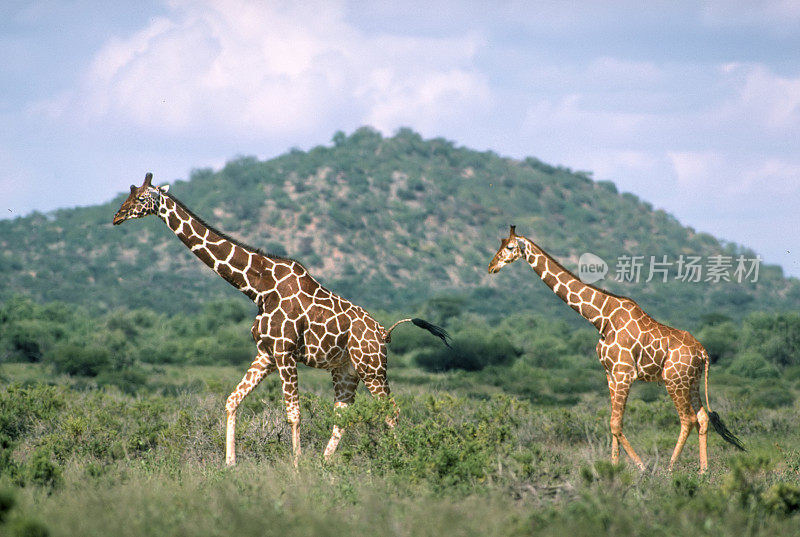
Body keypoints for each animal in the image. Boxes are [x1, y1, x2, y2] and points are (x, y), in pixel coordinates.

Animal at [112, 173, 450, 464]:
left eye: (141, 197)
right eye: (128, 193)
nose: (117, 216)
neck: (257, 288)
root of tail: (383, 332)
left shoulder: (285, 351)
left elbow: (293, 414)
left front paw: (296, 467)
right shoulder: (266, 352)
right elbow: (232, 400)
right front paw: (229, 465)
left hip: (373, 367)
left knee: (391, 412)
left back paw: (400, 459)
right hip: (346, 370)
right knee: (344, 416)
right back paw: (325, 464)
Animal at [488, 224, 744, 472]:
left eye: (510, 247)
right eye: (500, 243)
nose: (491, 267)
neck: (601, 317)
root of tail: (703, 353)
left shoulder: (624, 374)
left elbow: (615, 423)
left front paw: (641, 467)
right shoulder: (610, 374)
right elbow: (612, 423)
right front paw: (613, 468)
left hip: (674, 380)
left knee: (687, 419)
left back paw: (670, 469)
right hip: (692, 381)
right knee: (702, 417)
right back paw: (703, 471)